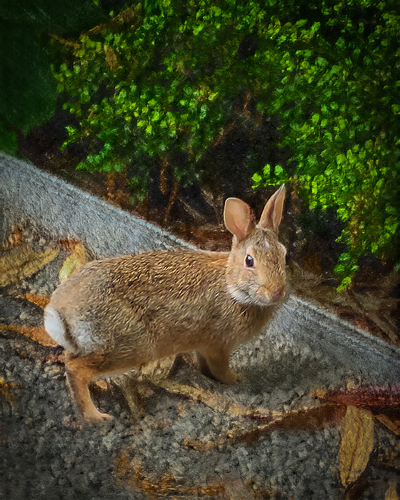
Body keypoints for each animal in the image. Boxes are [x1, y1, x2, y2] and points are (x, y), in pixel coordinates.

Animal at [43, 184, 288, 422]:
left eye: (284, 254)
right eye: (249, 261)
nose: (276, 292)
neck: (232, 287)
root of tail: (59, 310)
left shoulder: (202, 346)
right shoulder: (218, 345)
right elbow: (220, 370)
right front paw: (236, 380)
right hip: (128, 346)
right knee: (77, 369)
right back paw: (96, 417)